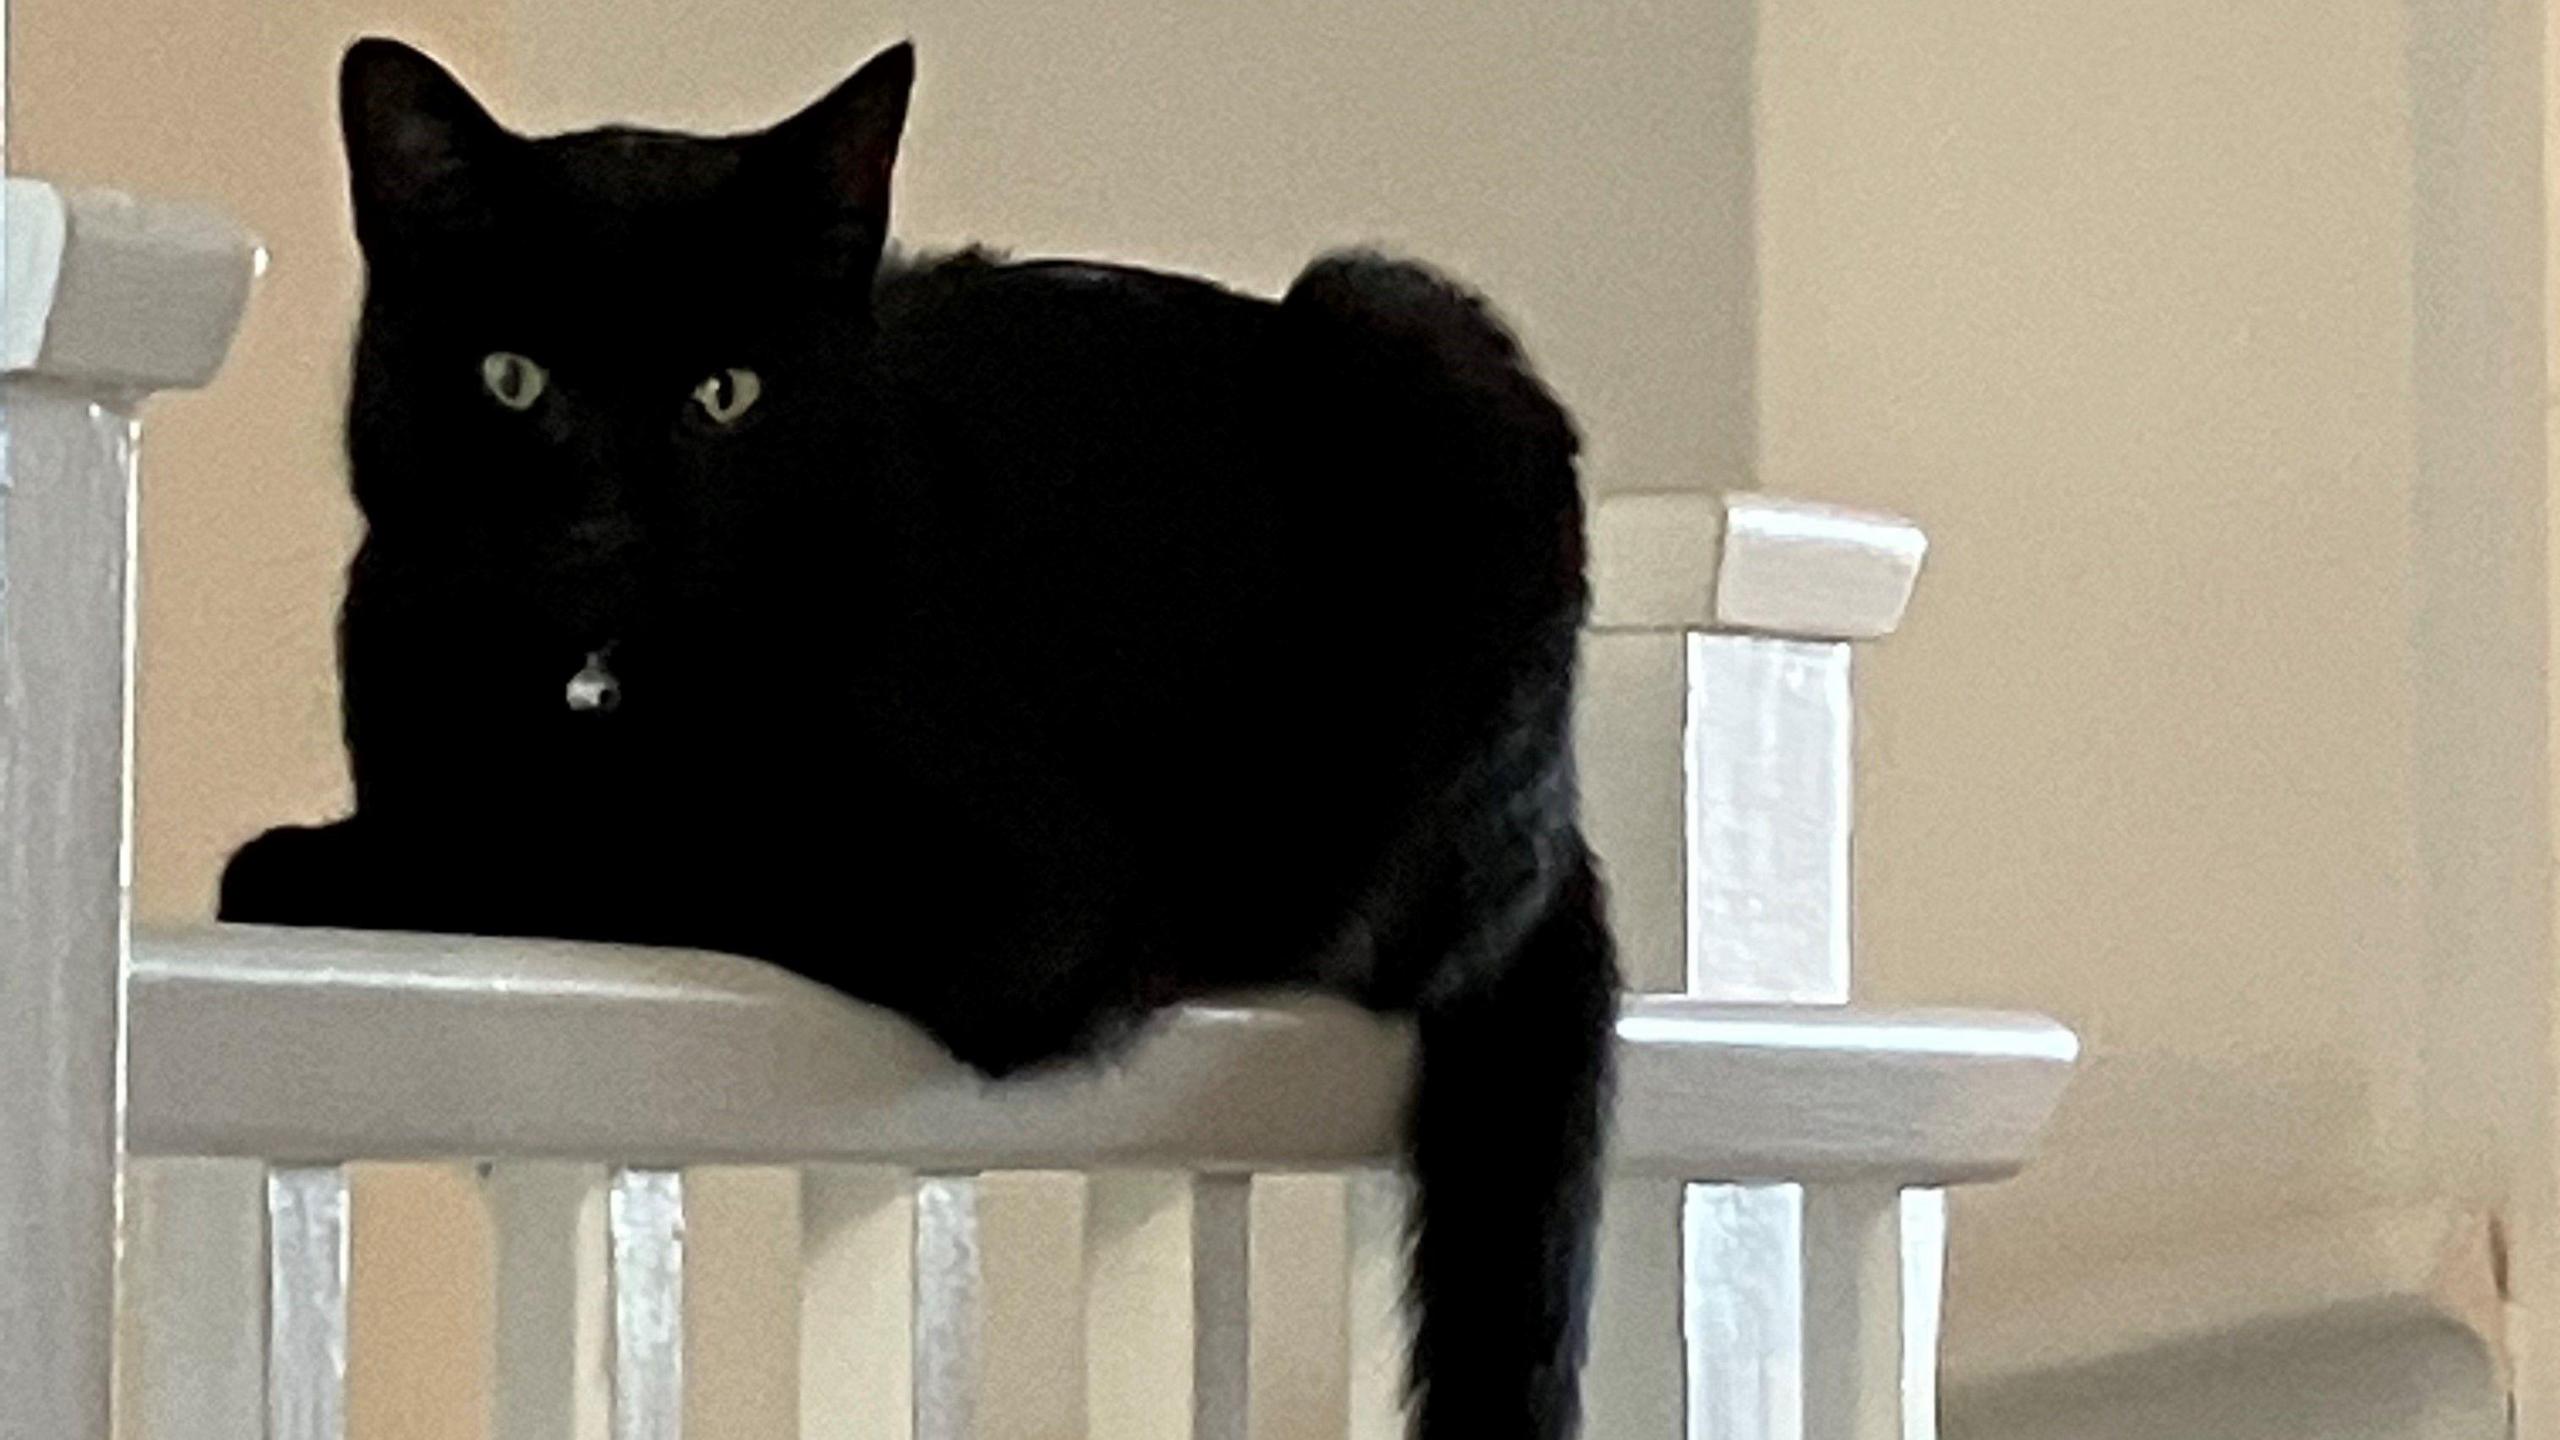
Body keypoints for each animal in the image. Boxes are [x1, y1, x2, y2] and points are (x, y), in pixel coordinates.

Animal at [225, 39, 1617, 1424]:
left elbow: (633, 859)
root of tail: (1565, 829)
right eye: (514, 380)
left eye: (725, 395)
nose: (612, 522)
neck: (597, 687)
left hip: (1404, 333)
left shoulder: (1017, 896)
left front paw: (328, 866)